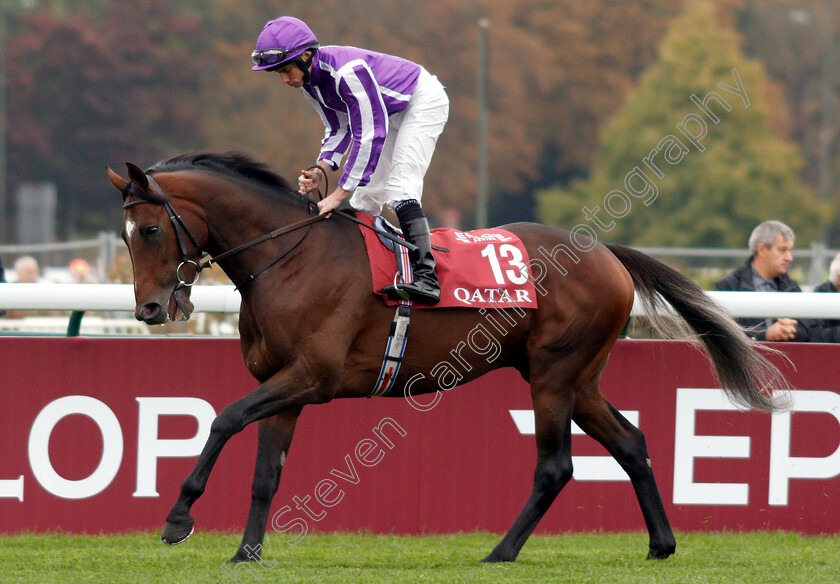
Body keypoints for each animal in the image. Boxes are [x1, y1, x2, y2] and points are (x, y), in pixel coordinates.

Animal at [106, 153, 788, 564]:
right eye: (124, 235)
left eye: (150, 230)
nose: (149, 309)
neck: (290, 257)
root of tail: (605, 252)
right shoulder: (284, 383)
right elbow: (265, 472)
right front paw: (247, 552)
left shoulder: (311, 377)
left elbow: (223, 419)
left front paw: (178, 516)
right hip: (580, 379)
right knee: (631, 442)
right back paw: (660, 544)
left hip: (554, 376)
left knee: (555, 466)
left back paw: (501, 552)